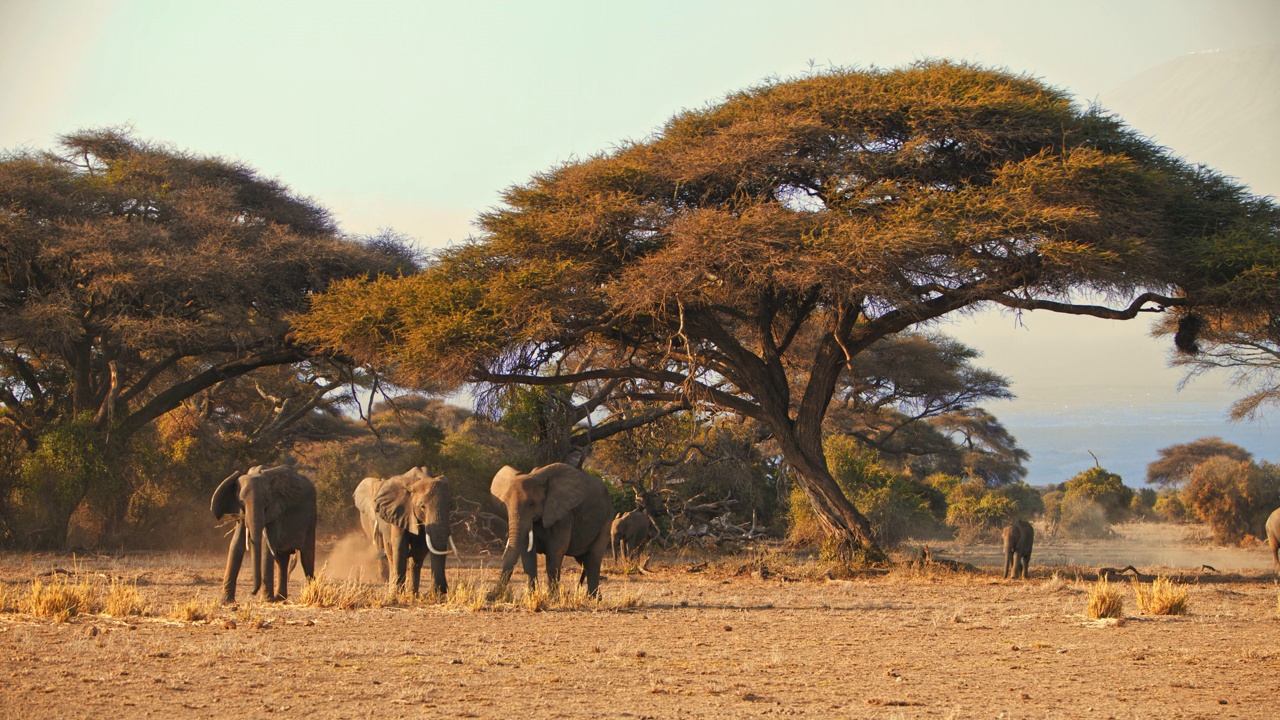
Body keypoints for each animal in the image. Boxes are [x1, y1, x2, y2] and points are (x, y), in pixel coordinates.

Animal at [211, 461, 316, 597]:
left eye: (266, 501)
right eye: (241, 501)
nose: (252, 593)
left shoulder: (276, 508)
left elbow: (267, 546)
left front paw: (266, 599)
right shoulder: (241, 510)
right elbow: (236, 544)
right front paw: (226, 600)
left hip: (311, 517)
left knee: (306, 558)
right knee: (282, 559)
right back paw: (280, 598)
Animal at [486, 461, 611, 597]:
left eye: (532, 504)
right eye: (506, 504)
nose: (490, 595)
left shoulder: (563, 514)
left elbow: (555, 553)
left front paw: (552, 598)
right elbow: (528, 557)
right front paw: (531, 596)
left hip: (606, 521)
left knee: (593, 560)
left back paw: (593, 598)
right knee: (584, 561)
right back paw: (594, 598)